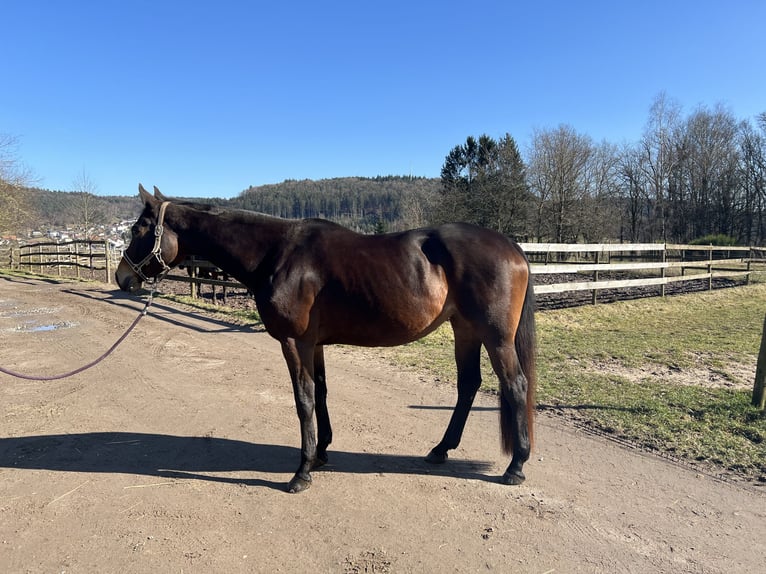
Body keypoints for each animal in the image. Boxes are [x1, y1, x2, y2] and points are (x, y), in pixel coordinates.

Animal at [117, 184, 536, 496]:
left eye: (138, 230)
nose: (123, 277)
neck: (277, 253)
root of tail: (513, 248)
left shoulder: (293, 341)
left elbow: (302, 399)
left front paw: (301, 472)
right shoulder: (313, 343)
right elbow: (320, 392)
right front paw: (320, 453)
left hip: (495, 335)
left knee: (515, 385)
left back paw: (516, 465)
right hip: (464, 329)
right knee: (469, 386)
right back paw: (440, 450)